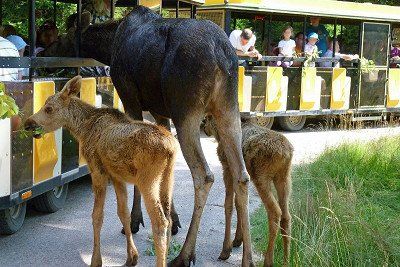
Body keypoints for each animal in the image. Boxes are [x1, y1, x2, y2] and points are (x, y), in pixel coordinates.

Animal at [23, 76, 177, 267]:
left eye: (49, 108)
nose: (28, 123)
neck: (82, 129)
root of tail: (170, 148)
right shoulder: (117, 177)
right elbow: (123, 213)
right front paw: (131, 257)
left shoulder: (97, 171)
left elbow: (97, 216)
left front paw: (96, 260)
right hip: (168, 178)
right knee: (169, 218)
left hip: (148, 180)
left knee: (160, 222)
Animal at [43, 5, 253, 266]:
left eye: (61, 38)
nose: (43, 55)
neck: (109, 46)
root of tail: (222, 55)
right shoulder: (159, 111)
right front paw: (174, 219)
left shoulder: (130, 98)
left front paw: (135, 221)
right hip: (228, 108)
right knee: (241, 175)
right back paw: (245, 256)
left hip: (187, 112)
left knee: (204, 175)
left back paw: (185, 254)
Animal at [205, 115, 292, 267]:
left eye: (207, 118)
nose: (203, 125)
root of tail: (286, 154)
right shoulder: (242, 177)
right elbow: (240, 204)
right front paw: (237, 240)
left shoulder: (227, 168)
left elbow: (229, 205)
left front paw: (226, 250)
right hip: (284, 178)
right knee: (286, 216)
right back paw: (286, 260)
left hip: (261, 177)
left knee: (275, 212)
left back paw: (268, 261)